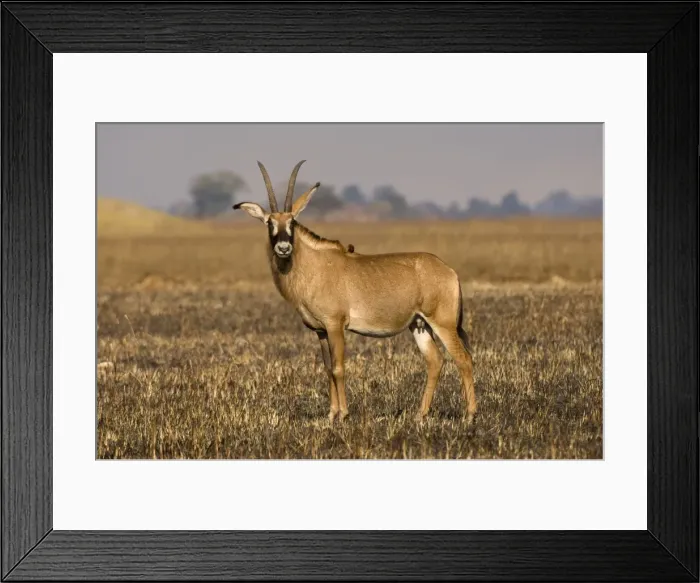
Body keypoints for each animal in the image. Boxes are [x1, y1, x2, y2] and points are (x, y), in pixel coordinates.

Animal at [233, 161, 477, 424]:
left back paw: (470, 414)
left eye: (292, 222)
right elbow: (327, 368)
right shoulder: (320, 331)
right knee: (435, 361)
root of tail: (449, 271)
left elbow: (339, 368)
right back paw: (420, 414)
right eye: (270, 223)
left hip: (443, 323)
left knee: (463, 359)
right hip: (419, 324)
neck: (314, 266)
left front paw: (343, 414)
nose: (283, 248)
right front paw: (331, 414)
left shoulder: (335, 325)